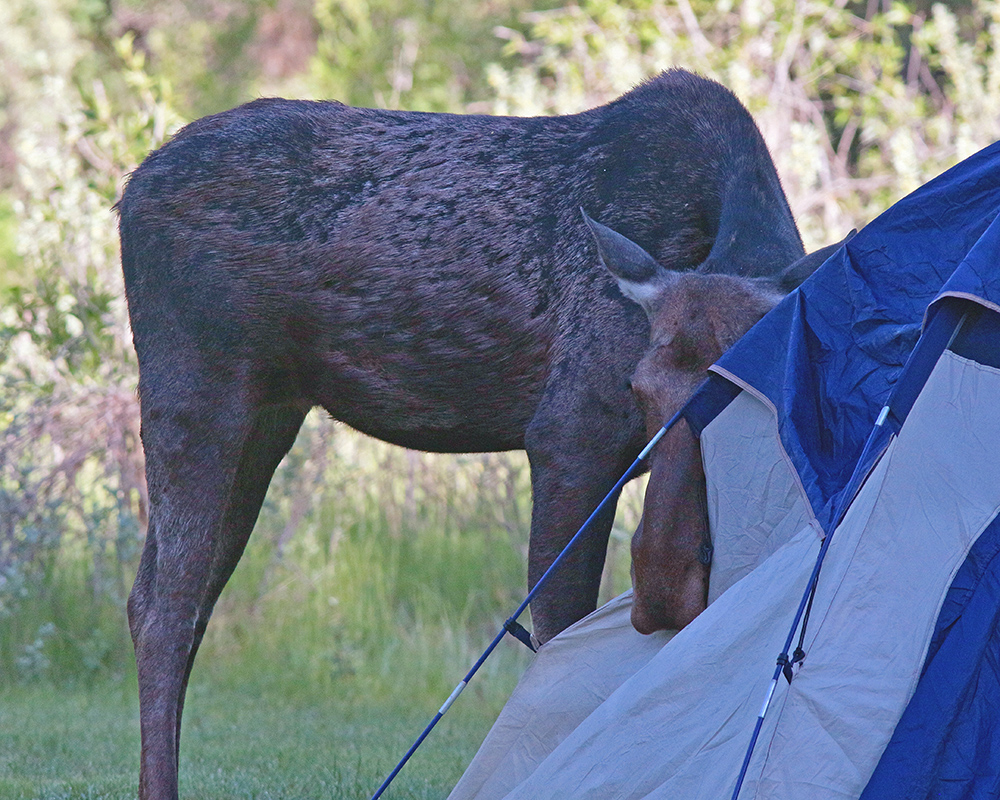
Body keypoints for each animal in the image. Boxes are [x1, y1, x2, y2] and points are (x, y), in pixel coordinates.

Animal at [119, 70, 820, 800]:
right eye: (636, 386)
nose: (661, 583)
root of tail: (129, 192)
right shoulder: (569, 433)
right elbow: (559, 634)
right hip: (197, 388)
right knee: (161, 607)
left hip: (270, 412)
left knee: (185, 601)